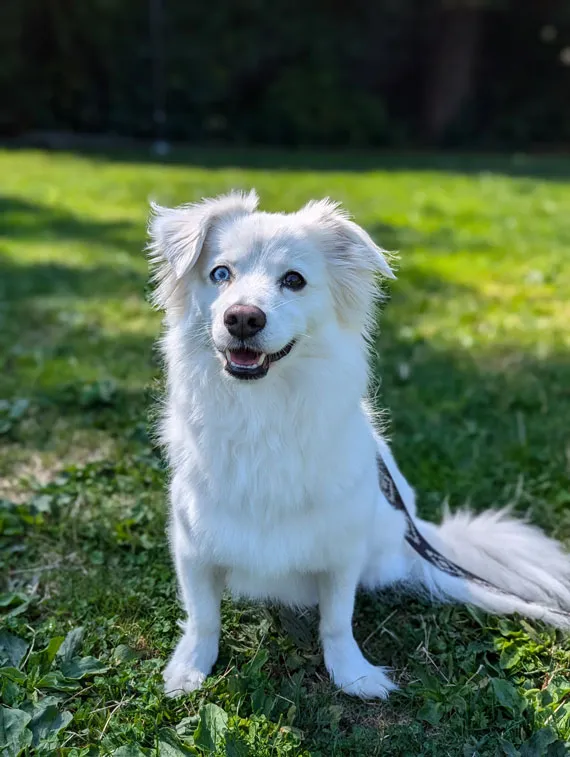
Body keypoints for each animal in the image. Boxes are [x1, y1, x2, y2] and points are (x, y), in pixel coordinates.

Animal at [148, 192, 568, 700]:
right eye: (220, 274)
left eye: (294, 280)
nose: (243, 317)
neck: (262, 412)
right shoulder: (193, 546)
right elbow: (203, 618)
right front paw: (189, 669)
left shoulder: (341, 554)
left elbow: (336, 622)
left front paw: (354, 675)